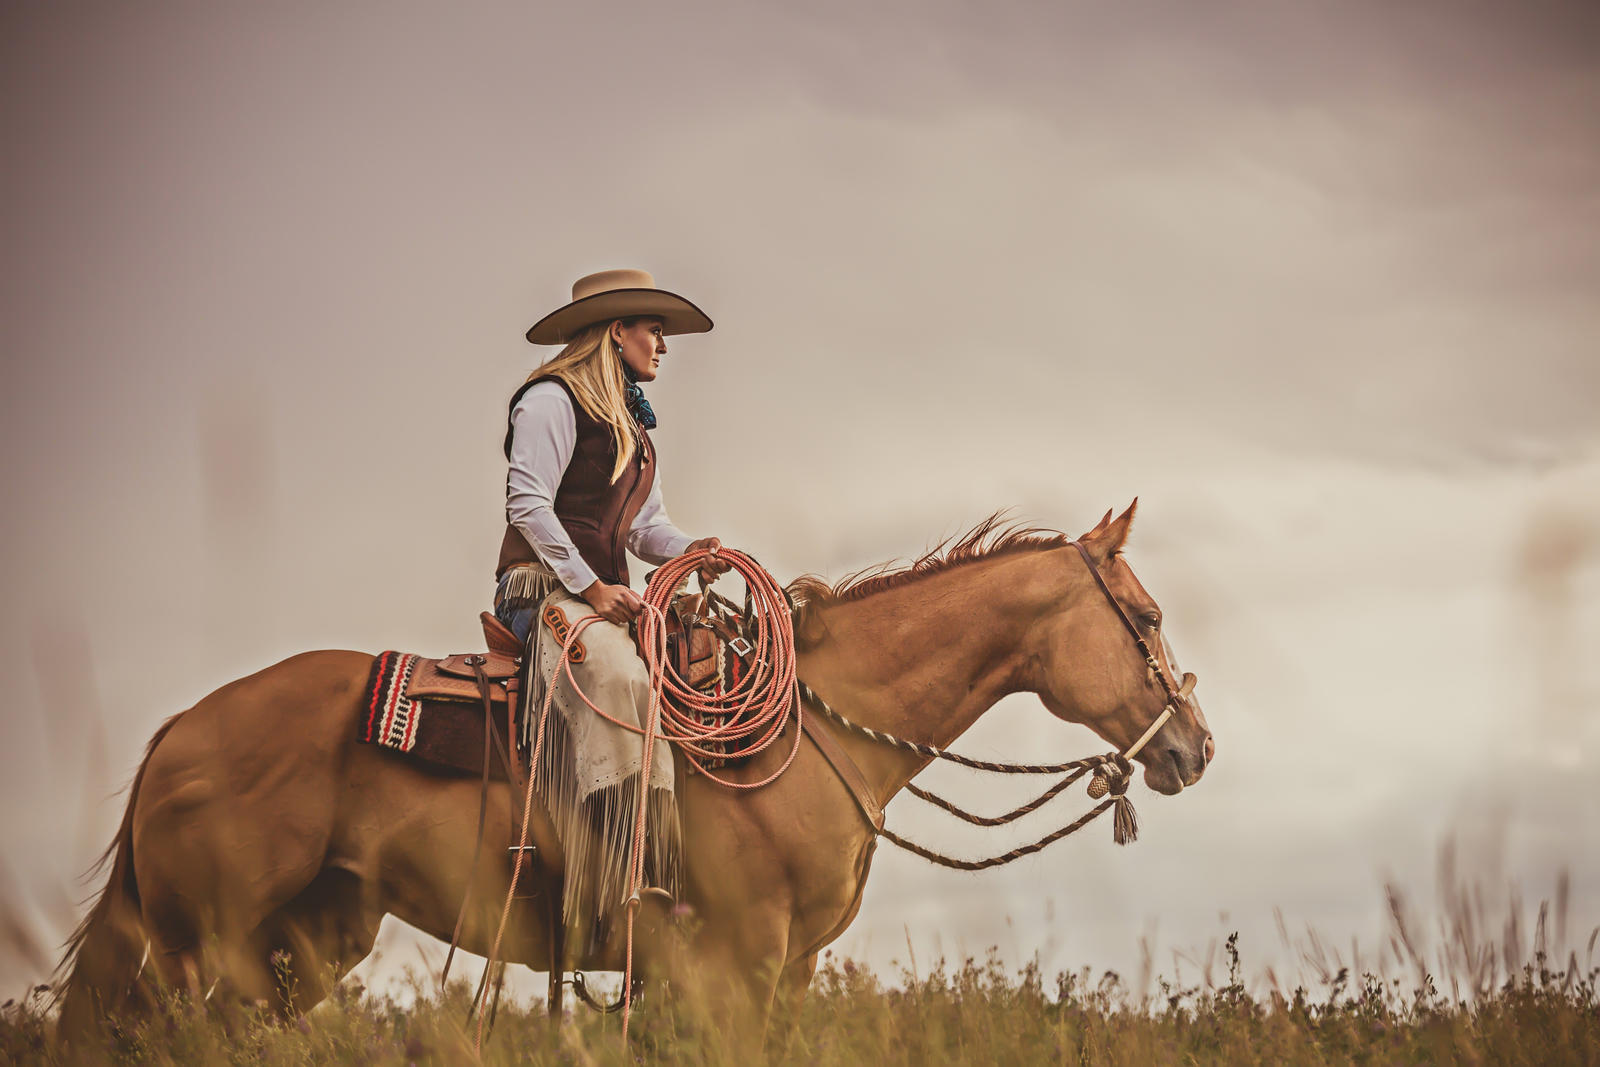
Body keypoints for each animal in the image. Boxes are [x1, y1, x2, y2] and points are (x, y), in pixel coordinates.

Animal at [56, 502, 1216, 1049]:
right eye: (1147, 614)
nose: (1195, 747)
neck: (811, 733)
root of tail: (182, 728)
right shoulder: (737, 959)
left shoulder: (784, 967)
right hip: (200, 951)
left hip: (306, 941)